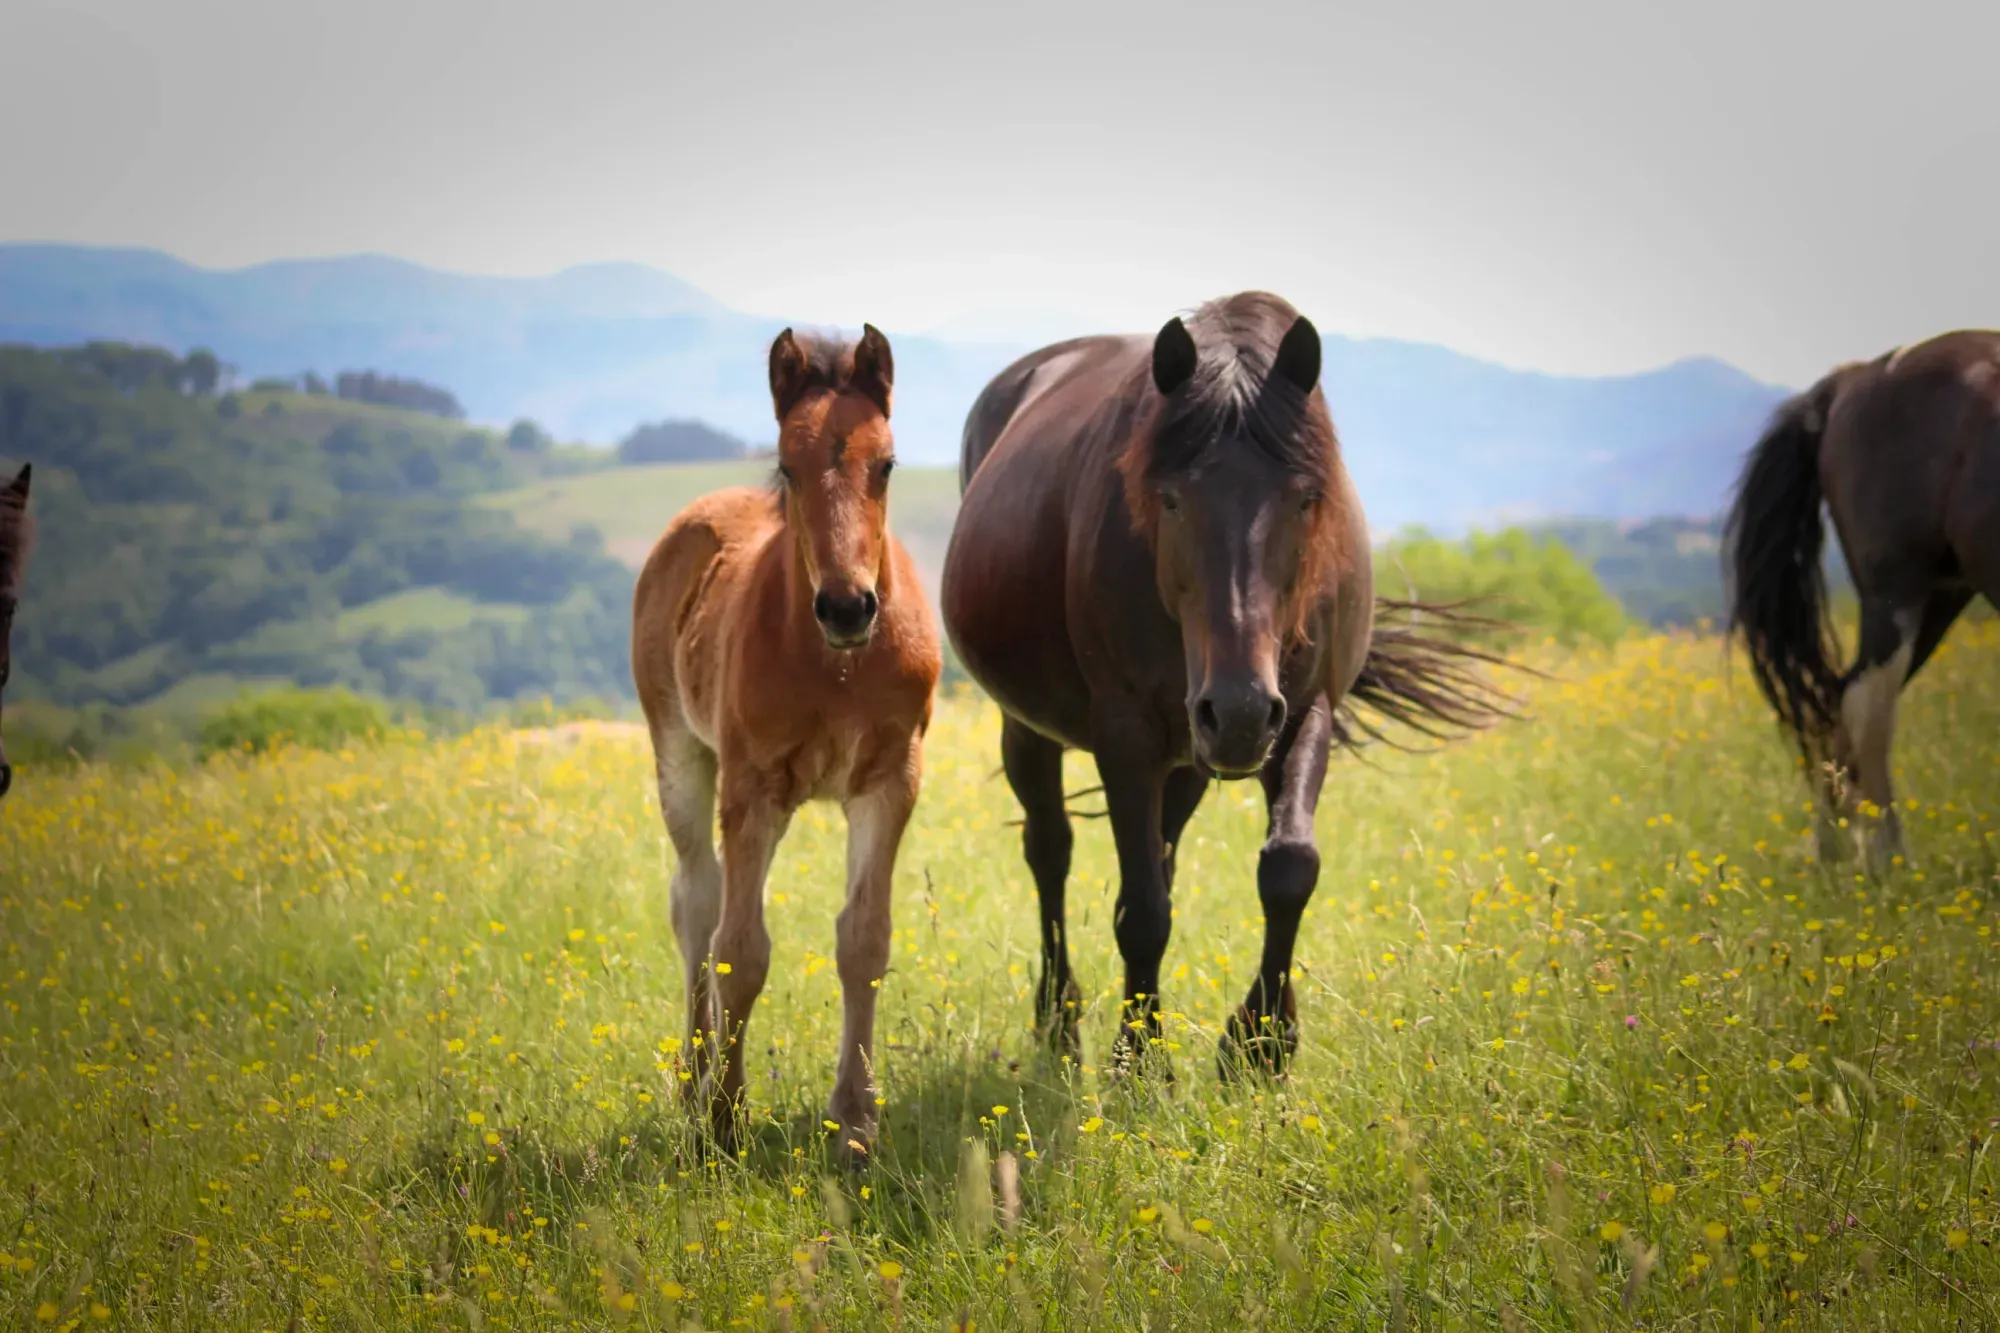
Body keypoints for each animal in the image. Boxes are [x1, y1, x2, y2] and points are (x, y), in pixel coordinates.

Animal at [632, 326, 941, 1158]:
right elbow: (740, 949)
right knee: (695, 904)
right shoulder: (753, 786)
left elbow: (864, 941)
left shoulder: (889, 781)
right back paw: (692, 1084)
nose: (846, 605)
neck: (837, 665)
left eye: (886, 463)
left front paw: (856, 1122)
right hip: (680, 754)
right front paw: (725, 1118)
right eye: (788, 467)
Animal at [941, 291, 1510, 1078]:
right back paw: (1059, 1023)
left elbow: (1288, 867)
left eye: (1307, 497)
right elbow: (1142, 912)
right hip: (1033, 728)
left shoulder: (1301, 715)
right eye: (1171, 499)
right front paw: (1140, 1061)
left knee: (1162, 852)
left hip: (1192, 757)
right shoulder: (1126, 734)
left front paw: (1261, 1042)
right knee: (1050, 850)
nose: (1236, 711)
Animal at [1724, 330, 2000, 871]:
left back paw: (1835, 856)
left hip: (1942, 595)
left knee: (1843, 706)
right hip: (1894, 592)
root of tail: (1857, 376)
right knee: (1866, 710)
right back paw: (1888, 864)